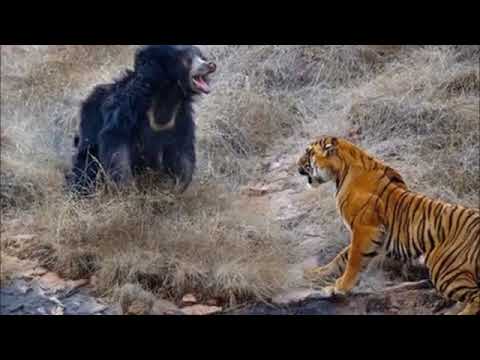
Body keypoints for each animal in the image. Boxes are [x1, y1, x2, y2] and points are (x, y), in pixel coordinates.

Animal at [66, 46, 217, 195]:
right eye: (187, 59)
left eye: (201, 57)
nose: (211, 65)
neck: (167, 94)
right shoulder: (127, 107)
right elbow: (116, 141)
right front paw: (126, 188)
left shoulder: (181, 116)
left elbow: (183, 150)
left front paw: (176, 186)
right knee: (87, 167)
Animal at [298, 135, 478, 316]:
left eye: (309, 152)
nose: (297, 164)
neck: (342, 171)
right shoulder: (371, 235)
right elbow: (342, 257)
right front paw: (317, 273)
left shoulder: (365, 229)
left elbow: (353, 261)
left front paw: (340, 287)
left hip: (444, 269)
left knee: (476, 296)